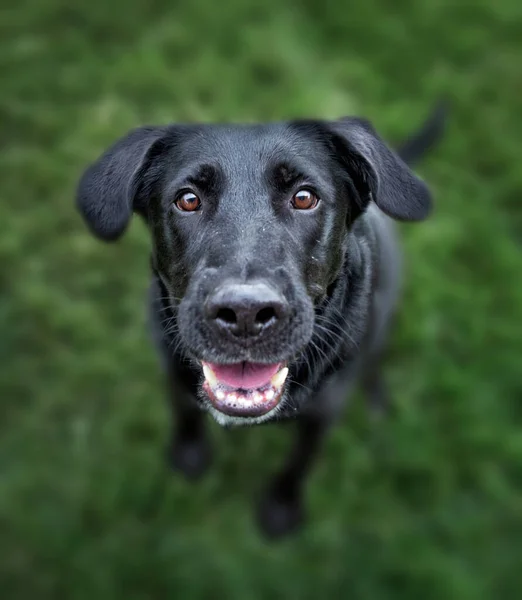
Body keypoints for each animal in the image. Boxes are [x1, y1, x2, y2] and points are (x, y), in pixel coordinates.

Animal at [76, 104, 442, 540]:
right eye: (188, 200)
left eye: (304, 198)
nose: (246, 314)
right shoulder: (172, 368)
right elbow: (184, 413)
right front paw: (188, 456)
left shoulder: (323, 414)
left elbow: (299, 463)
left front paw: (281, 508)